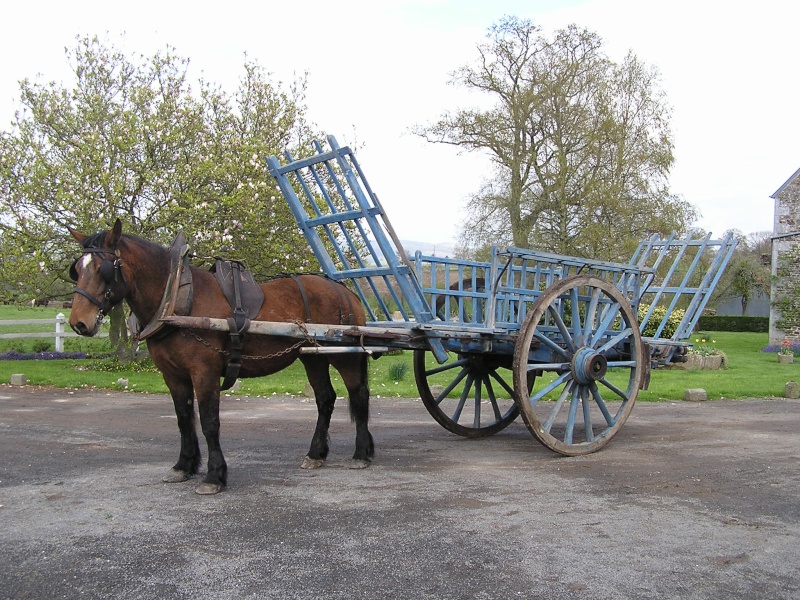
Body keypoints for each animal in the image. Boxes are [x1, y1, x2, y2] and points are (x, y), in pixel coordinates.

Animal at [67, 218, 374, 494]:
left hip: (345, 356)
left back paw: (361, 453)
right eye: (77, 270)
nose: (78, 323)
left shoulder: (204, 372)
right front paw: (183, 466)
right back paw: (316, 454)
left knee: (357, 395)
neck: (177, 299)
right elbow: (183, 418)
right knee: (325, 398)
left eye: (104, 269)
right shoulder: (173, 375)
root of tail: (344, 290)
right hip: (313, 356)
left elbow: (209, 422)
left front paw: (214, 476)